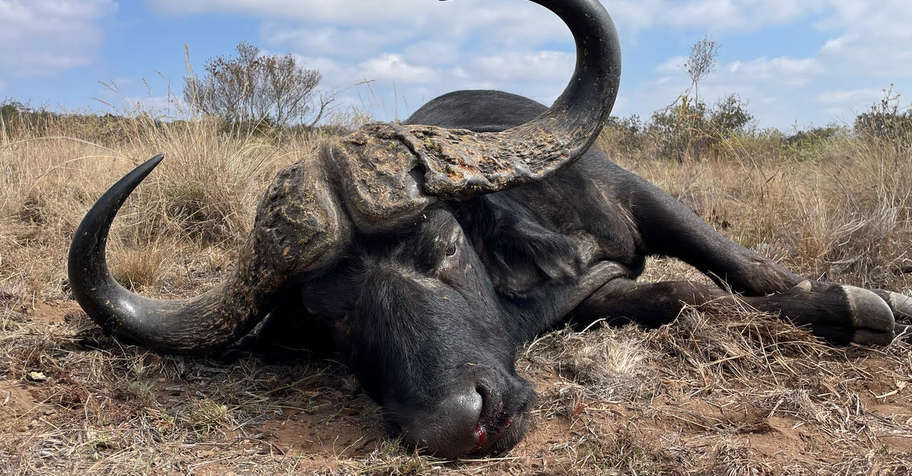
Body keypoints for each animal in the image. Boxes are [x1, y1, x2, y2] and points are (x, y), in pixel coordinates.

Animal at [68, 0, 911, 458]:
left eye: (440, 246)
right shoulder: (590, 299)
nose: (459, 423)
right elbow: (684, 297)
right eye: (329, 319)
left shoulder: (638, 198)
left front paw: (873, 304)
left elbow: (741, 266)